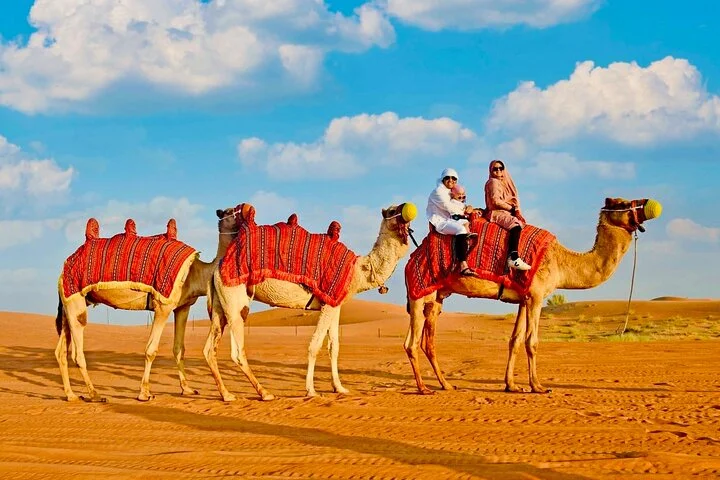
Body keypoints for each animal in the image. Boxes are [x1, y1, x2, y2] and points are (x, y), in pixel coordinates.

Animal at [55, 204, 246, 402]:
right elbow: (151, 349)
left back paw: (71, 395)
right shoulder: (163, 305)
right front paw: (144, 393)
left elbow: (179, 348)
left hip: (69, 304)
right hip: (75, 298)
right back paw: (94, 394)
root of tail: (64, 268)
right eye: (231, 211)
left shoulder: (182, 307)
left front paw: (187, 389)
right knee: (77, 350)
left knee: (60, 351)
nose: (248, 211)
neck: (195, 272)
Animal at [204, 202, 417, 401]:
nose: (406, 209)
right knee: (237, 352)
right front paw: (311, 391)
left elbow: (334, 347)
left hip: (220, 307)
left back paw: (227, 394)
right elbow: (315, 346)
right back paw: (265, 393)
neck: (358, 270)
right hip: (236, 301)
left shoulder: (334, 303)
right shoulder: (329, 300)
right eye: (392, 211)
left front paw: (339, 388)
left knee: (209, 349)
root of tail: (217, 268)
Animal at [404, 197, 662, 395]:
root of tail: (413, 256)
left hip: (435, 297)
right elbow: (532, 341)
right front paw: (537, 386)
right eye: (623, 203)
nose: (650, 205)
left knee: (427, 341)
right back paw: (423, 389)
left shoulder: (522, 298)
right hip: (420, 291)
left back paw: (446, 385)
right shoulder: (537, 296)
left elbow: (515, 340)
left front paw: (511, 385)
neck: (560, 260)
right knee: (412, 343)